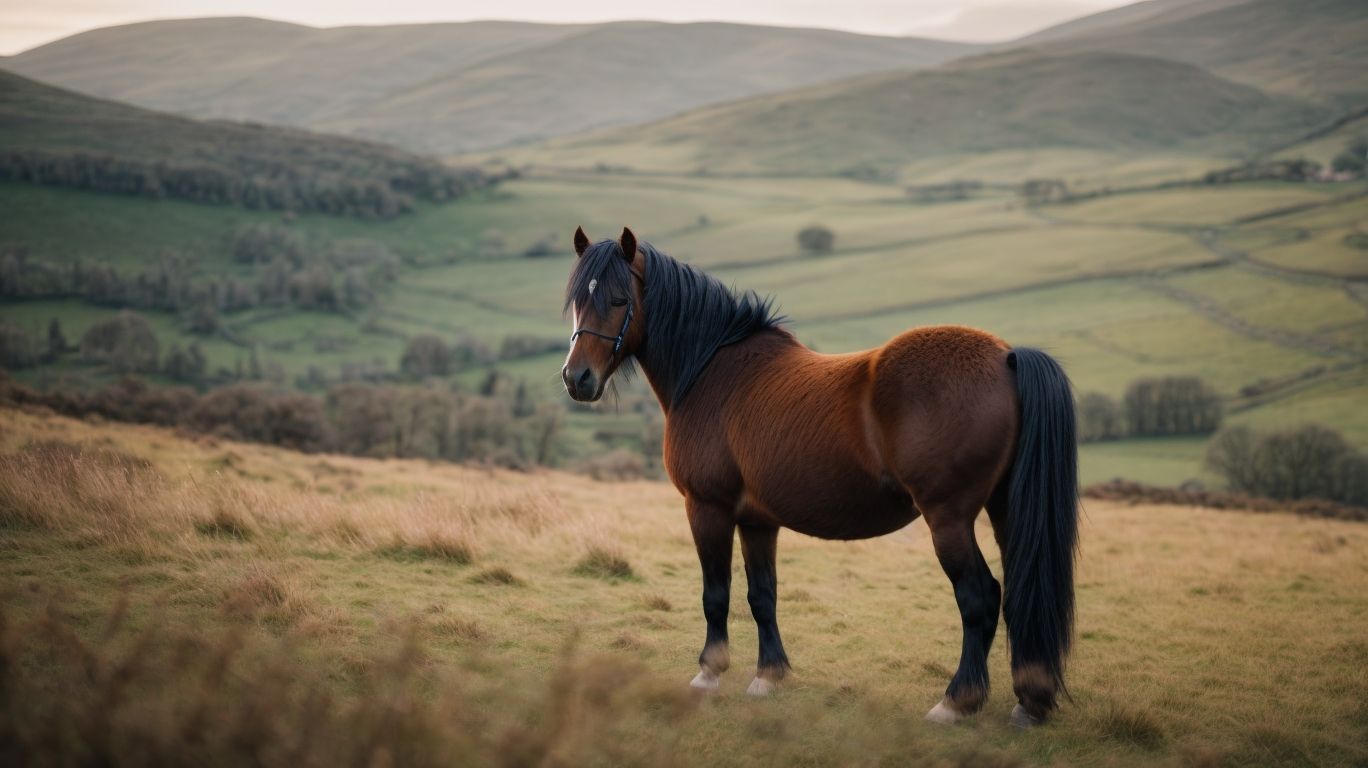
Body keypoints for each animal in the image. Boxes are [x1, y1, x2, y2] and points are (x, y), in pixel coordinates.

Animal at [561, 227, 1079, 727]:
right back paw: (1029, 702)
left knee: (980, 598)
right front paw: (768, 676)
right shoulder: (757, 521)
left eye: (620, 299)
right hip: (1004, 511)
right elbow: (761, 595)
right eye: (578, 299)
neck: (711, 369)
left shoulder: (707, 507)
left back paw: (956, 702)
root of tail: (1007, 357)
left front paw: (709, 672)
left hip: (949, 520)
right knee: (1018, 596)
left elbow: (716, 593)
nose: (577, 378)